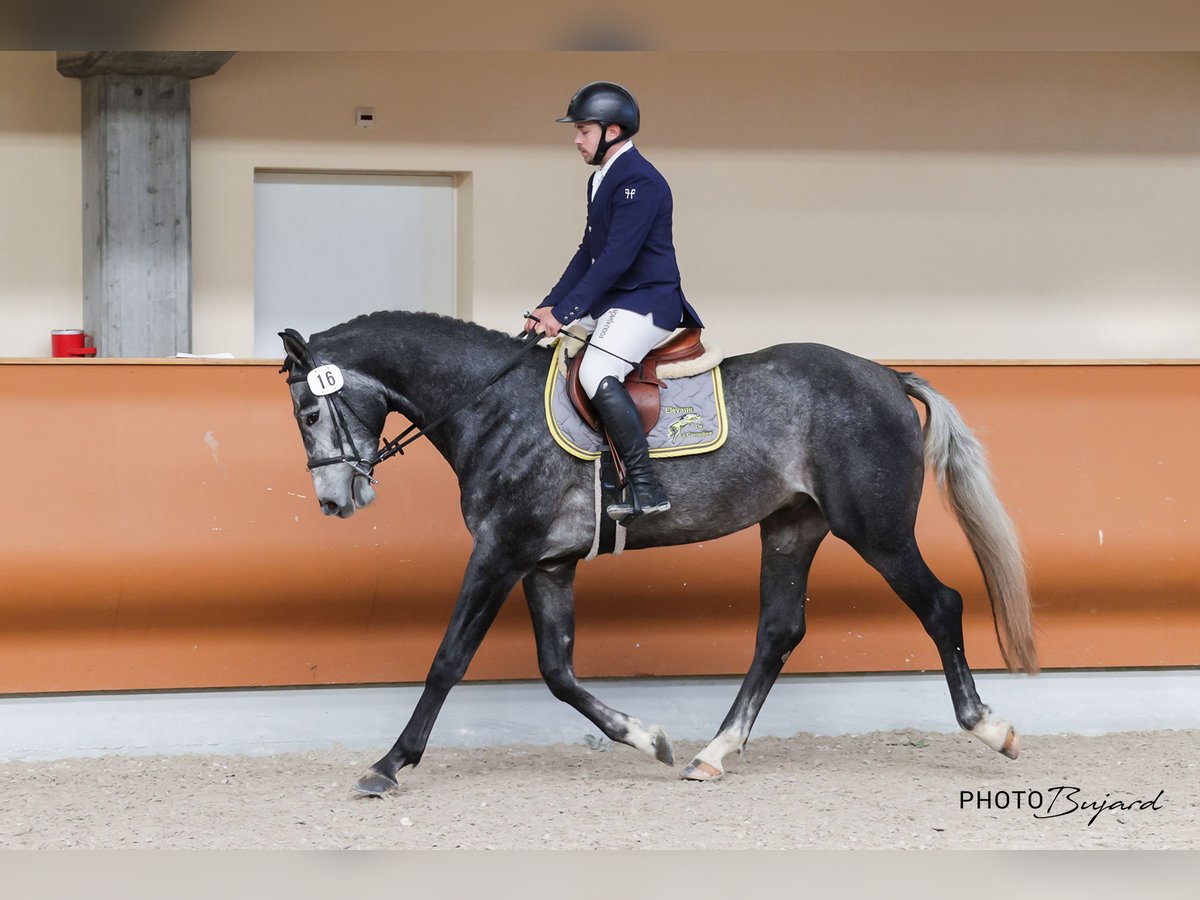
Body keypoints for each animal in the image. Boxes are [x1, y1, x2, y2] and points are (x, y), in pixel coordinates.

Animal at [276, 312, 1036, 796]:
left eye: (310, 414)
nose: (336, 502)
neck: (492, 408)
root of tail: (885, 375)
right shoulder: (546, 564)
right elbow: (558, 672)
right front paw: (647, 738)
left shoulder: (500, 551)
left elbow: (447, 661)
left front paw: (388, 765)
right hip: (792, 527)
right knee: (778, 632)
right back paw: (712, 754)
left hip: (875, 530)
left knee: (940, 605)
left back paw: (992, 728)